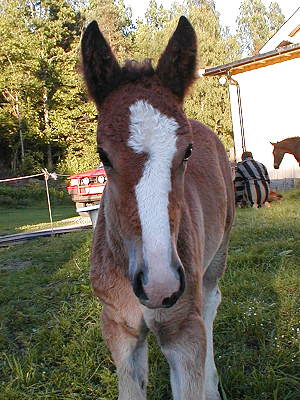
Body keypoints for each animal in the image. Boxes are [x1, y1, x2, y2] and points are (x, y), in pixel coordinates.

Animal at [81, 16, 234, 400]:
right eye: (103, 155)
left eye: (187, 151)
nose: (160, 284)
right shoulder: (119, 329)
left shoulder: (183, 333)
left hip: (217, 256)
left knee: (211, 303)